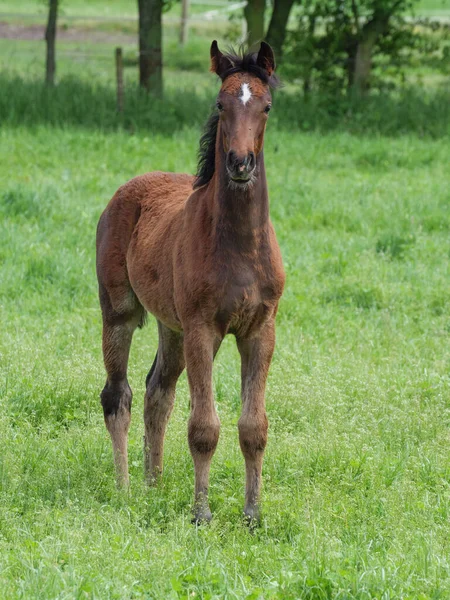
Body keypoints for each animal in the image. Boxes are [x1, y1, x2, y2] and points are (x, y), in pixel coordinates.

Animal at [96, 39, 284, 524]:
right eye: (220, 103)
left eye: (266, 106)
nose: (240, 163)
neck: (238, 246)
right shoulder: (203, 328)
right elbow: (203, 427)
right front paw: (201, 514)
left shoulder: (260, 330)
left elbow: (253, 426)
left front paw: (253, 515)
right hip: (120, 312)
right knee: (118, 395)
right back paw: (125, 488)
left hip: (172, 327)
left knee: (157, 392)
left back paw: (154, 483)